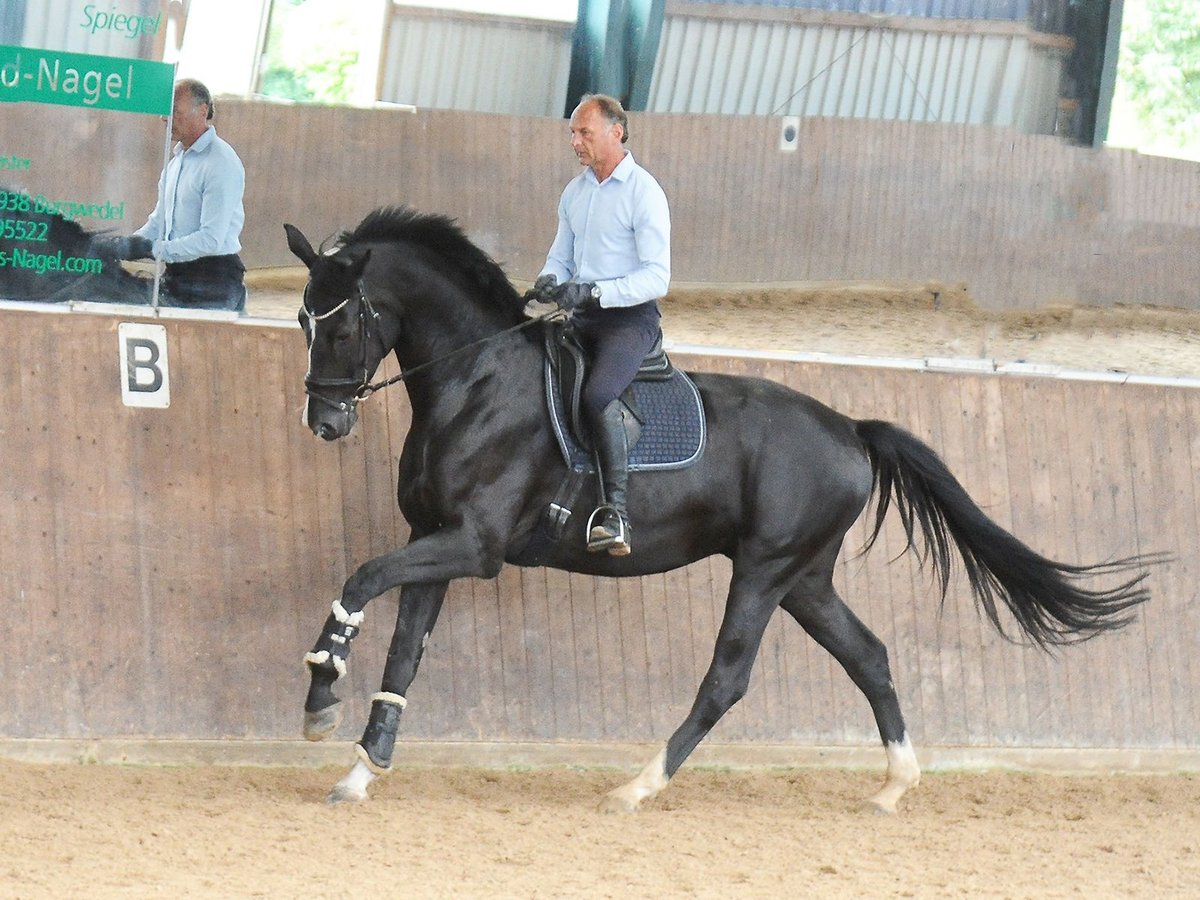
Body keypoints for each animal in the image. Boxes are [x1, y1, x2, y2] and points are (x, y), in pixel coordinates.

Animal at [285, 207, 1156, 816]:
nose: (324, 423)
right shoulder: (434, 536)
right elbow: (405, 650)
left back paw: (638, 786)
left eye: (347, 318)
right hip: (805, 578)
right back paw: (891, 786)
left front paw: (322, 692)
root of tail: (850, 429)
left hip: (767, 570)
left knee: (727, 678)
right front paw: (362, 767)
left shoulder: (474, 544)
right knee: (868, 655)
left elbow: (361, 579)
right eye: (301, 318)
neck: (477, 382)